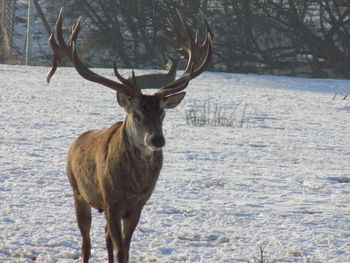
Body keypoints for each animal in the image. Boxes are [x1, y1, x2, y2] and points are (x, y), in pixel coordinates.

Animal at [47, 7, 212, 262]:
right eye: (136, 114)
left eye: (162, 113)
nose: (157, 140)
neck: (132, 186)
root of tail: (76, 142)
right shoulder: (111, 201)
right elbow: (120, 248)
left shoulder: (138, 205)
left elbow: (124, 249)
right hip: (78, 192)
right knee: (86, 242)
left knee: (105, 238)